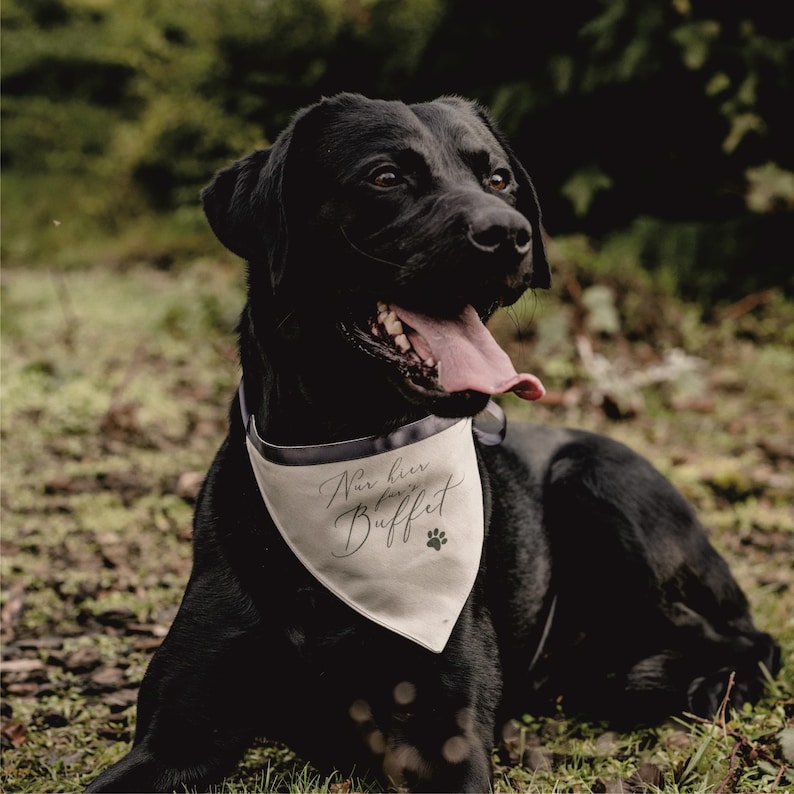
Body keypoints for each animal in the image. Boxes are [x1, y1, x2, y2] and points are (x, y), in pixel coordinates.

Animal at [85, 94, 772, 792]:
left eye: (499, 178)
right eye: (385, 176)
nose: (510, 233)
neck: (348, 453)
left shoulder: (444, 729)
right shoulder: (176, 735)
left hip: (597, 484)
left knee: (749, 641)